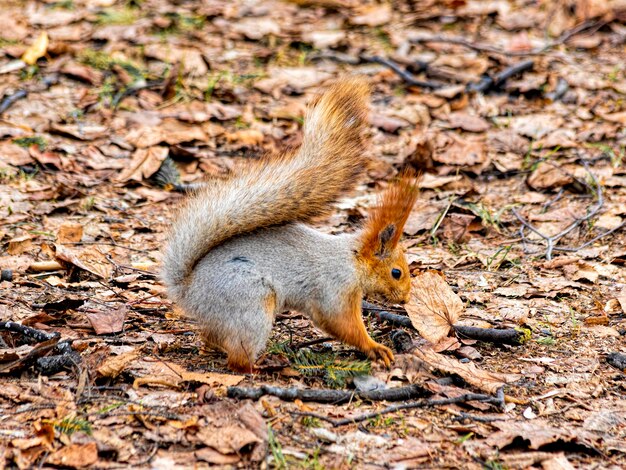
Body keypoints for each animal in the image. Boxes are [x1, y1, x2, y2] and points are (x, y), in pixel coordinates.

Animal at [161, 79, 416, 372]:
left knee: (210, 338)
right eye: (396, 272)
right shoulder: (334, 288)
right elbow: (339, 323)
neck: (351, 259)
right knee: (238, 359)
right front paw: (375, 348)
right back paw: (264, 364)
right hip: (251, 305)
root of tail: (188, 292)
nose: (406, 299)